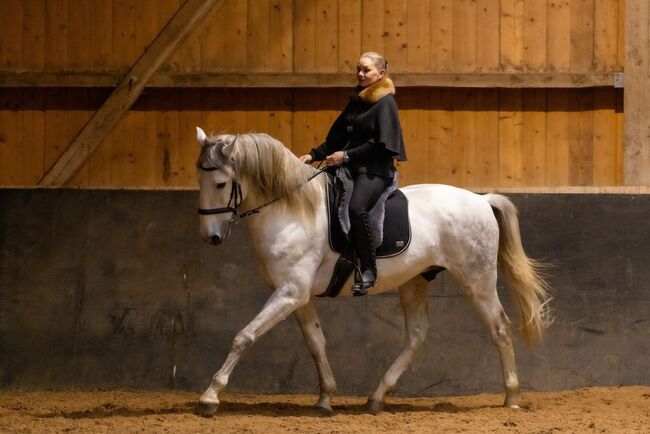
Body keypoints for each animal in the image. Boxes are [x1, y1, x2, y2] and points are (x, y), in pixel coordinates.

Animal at [192, 127, 548, 416]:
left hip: (477, 280)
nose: (210, 237)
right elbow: (316, 342)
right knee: (416, 334)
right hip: (415, 281)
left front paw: (209, 397)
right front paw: (325, 398)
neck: (292, 211)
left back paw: (511, 397)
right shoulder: (296, 296)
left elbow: (245, 336)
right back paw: (377, 397)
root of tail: (482, 200)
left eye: (221, 183)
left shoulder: (289, 293)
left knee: (500, 328)